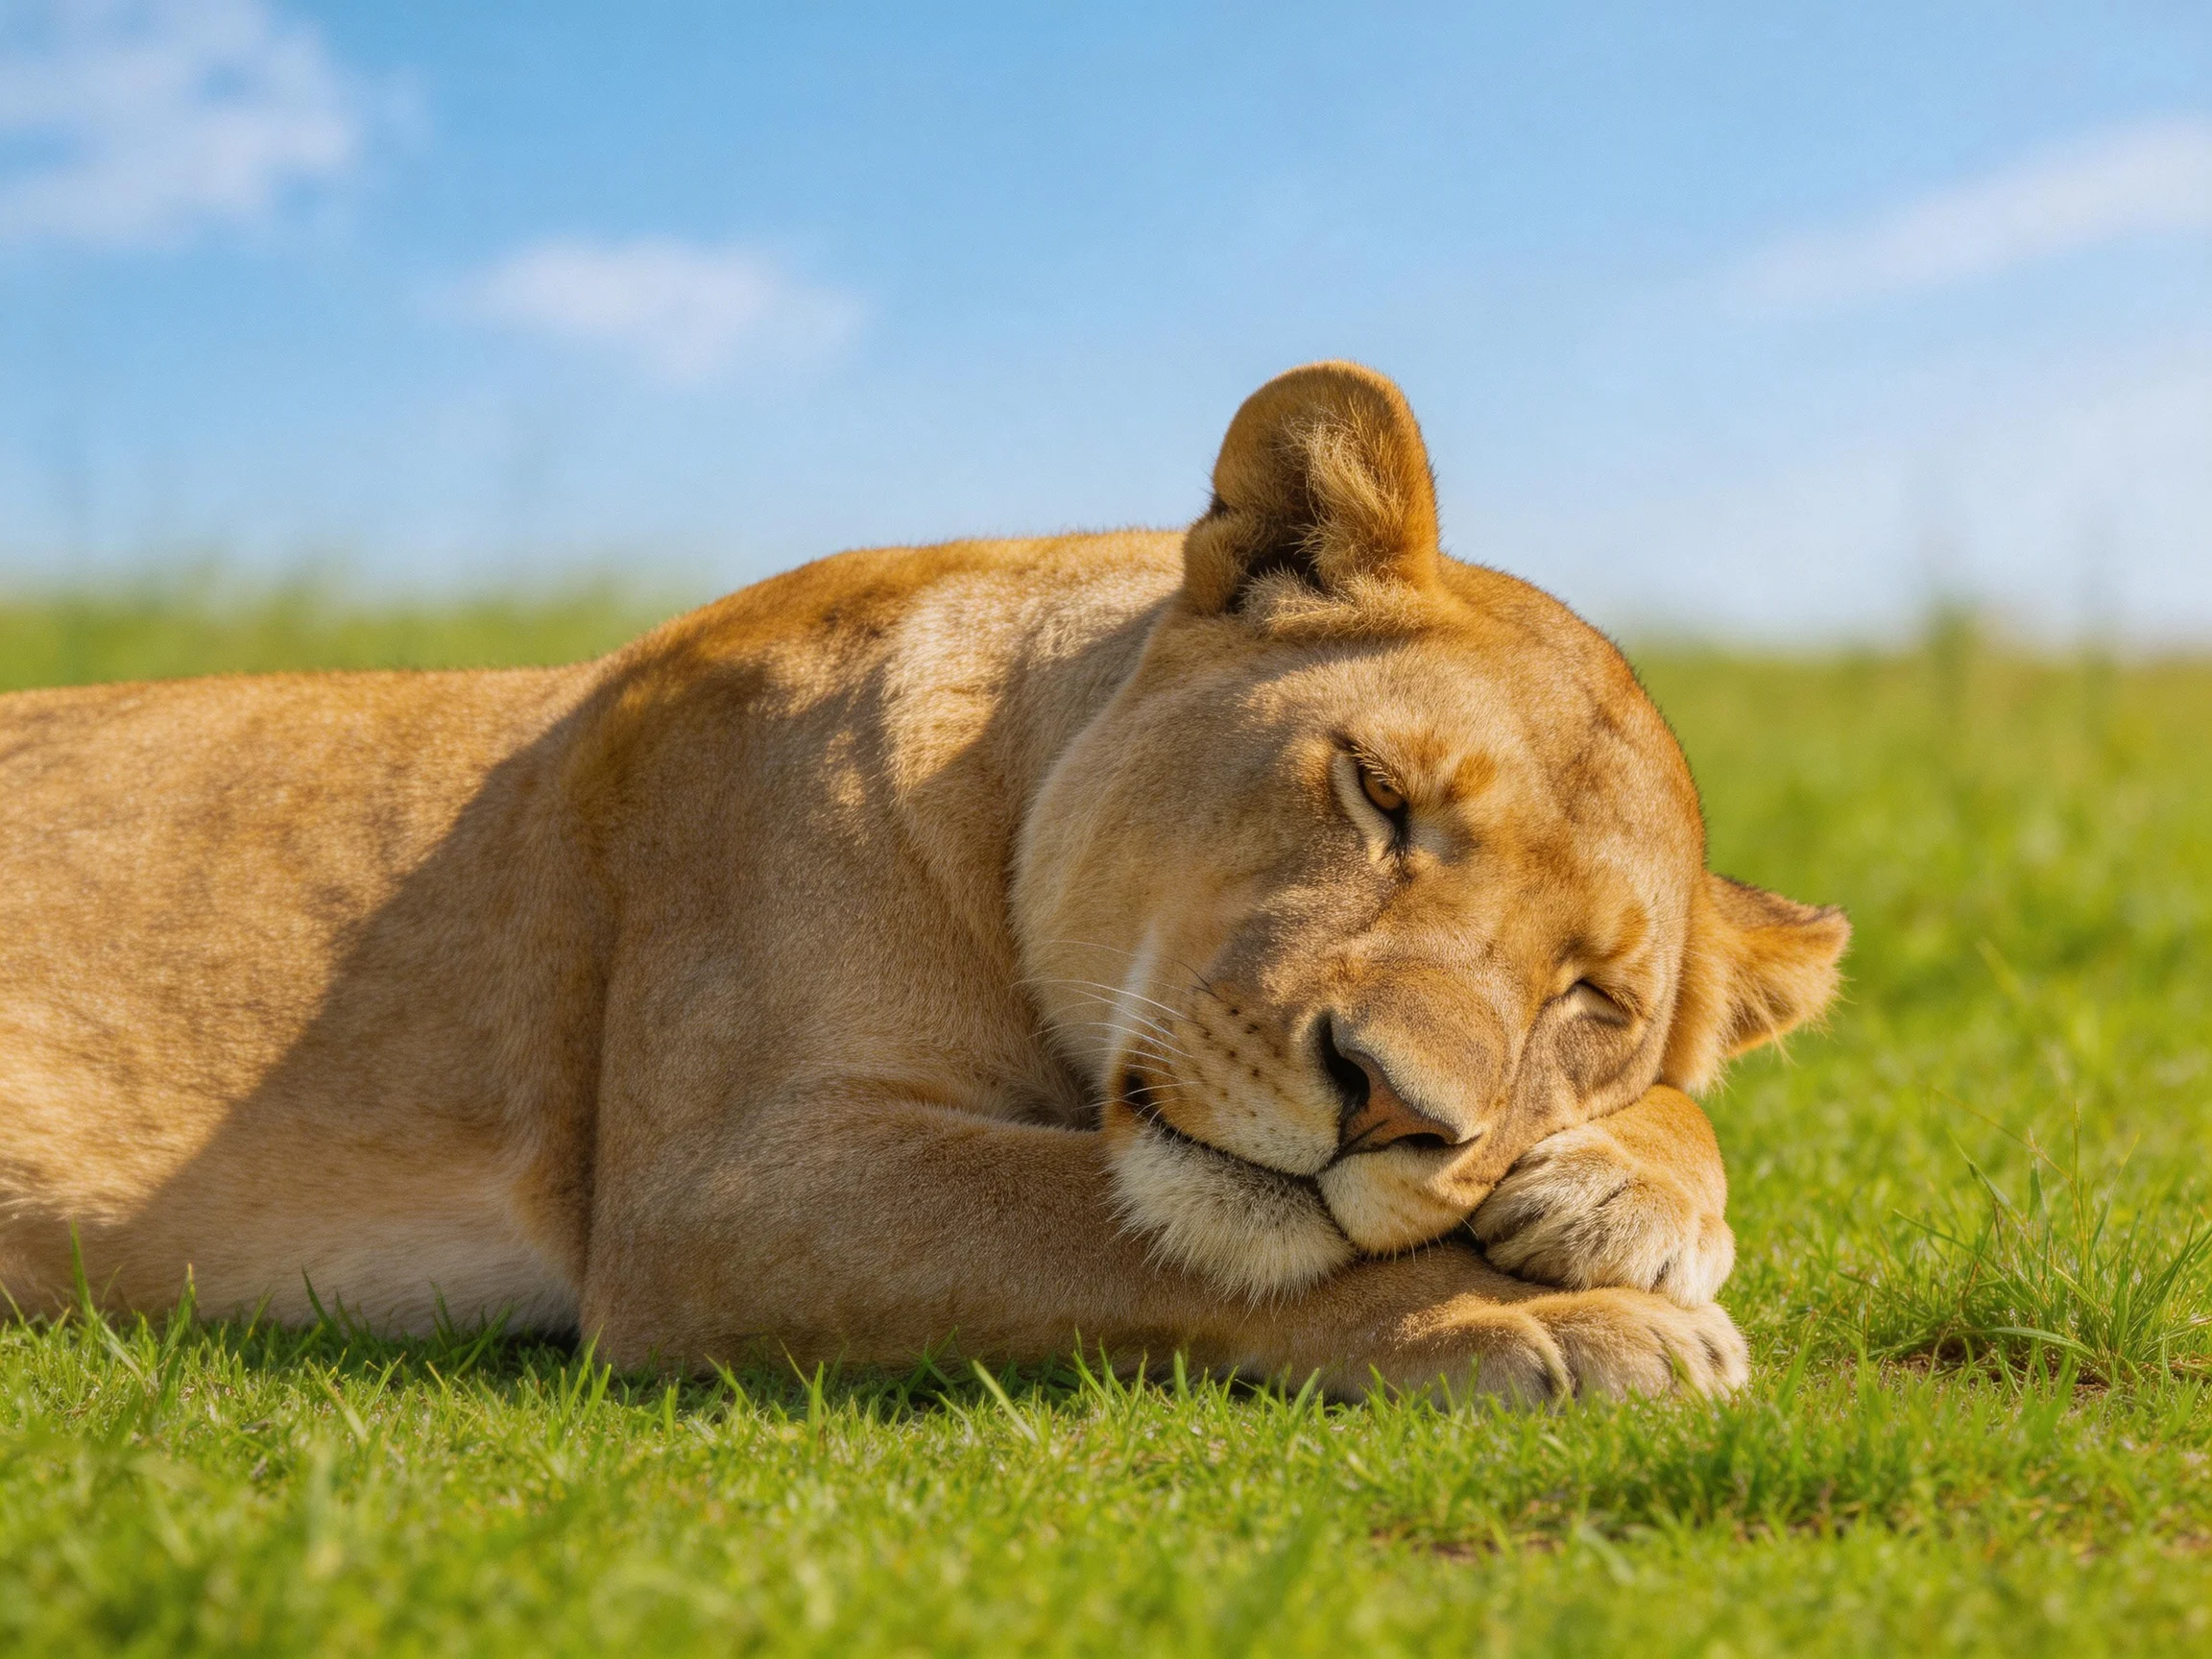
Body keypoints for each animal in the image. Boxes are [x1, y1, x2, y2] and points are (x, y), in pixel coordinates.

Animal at [0, 363, 1847, 1401]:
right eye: (1377, 795)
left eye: (1590, 999)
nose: (1388, 1104)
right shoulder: (729, 1188)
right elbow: (1119, 1228)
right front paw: (1557, 1320)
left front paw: (1634, 1196)